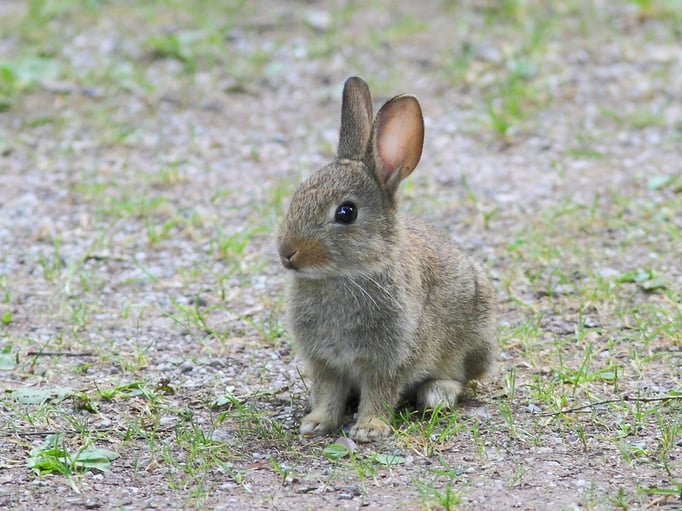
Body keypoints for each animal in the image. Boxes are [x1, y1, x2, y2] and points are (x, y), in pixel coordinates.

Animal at [277, 76, 497, 442]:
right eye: (297, 196)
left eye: (346, 212)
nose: (287, 252)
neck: (345, 275)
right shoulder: (324, 362)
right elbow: (327, 393)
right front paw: (316, 423)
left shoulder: (390, 358)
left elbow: (380, 392)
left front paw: (369, 428)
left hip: (475, 341)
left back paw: (437, 395)